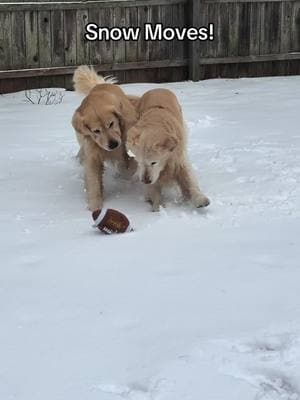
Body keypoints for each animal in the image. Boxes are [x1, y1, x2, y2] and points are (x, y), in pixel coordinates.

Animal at [72, 66, 138, 209]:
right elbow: (93, 182)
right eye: (96, 131)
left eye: (111, 124)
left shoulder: (120, 148)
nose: (113, 144)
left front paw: (131, 166)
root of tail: (99, 84)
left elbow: (125, 165)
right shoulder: (92, 154)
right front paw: (95, 207)